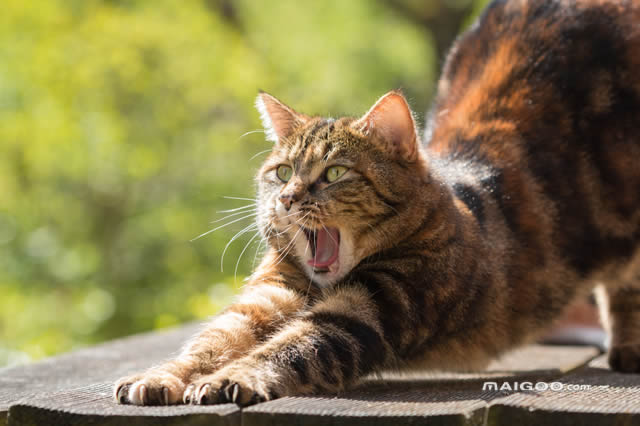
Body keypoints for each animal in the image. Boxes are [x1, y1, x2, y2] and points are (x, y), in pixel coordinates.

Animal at [114, 0, 640, 406]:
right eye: (281, 172)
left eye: (334, 173)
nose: (287, 198)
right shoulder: (270, 294)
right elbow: (214, 338)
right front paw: (161, 376)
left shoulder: (373, 308)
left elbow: (293, 345)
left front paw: (231, 376)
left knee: (625, 285)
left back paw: (629, 350)